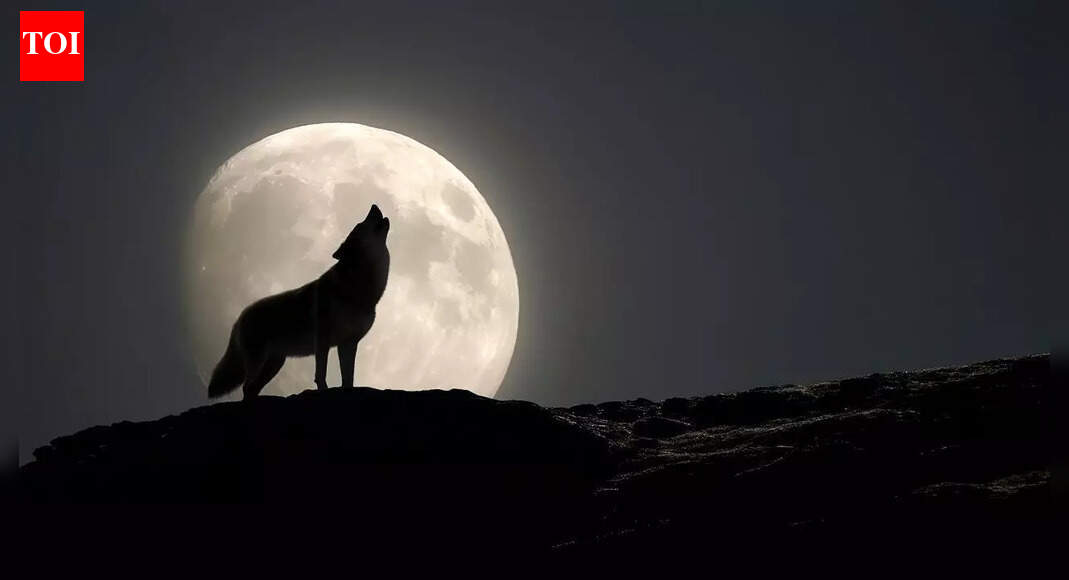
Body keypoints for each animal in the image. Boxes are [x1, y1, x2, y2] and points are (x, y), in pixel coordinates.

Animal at [207, 204, 391, 400]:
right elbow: (321, 375)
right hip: (260, 362)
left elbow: (348, 378)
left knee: (252, 389)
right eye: (359, 225)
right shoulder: (323, 341)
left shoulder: (348, 344)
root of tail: (240, 317)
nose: (374, 205)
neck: (358, 286)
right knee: (247, 387)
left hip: (275, 364)